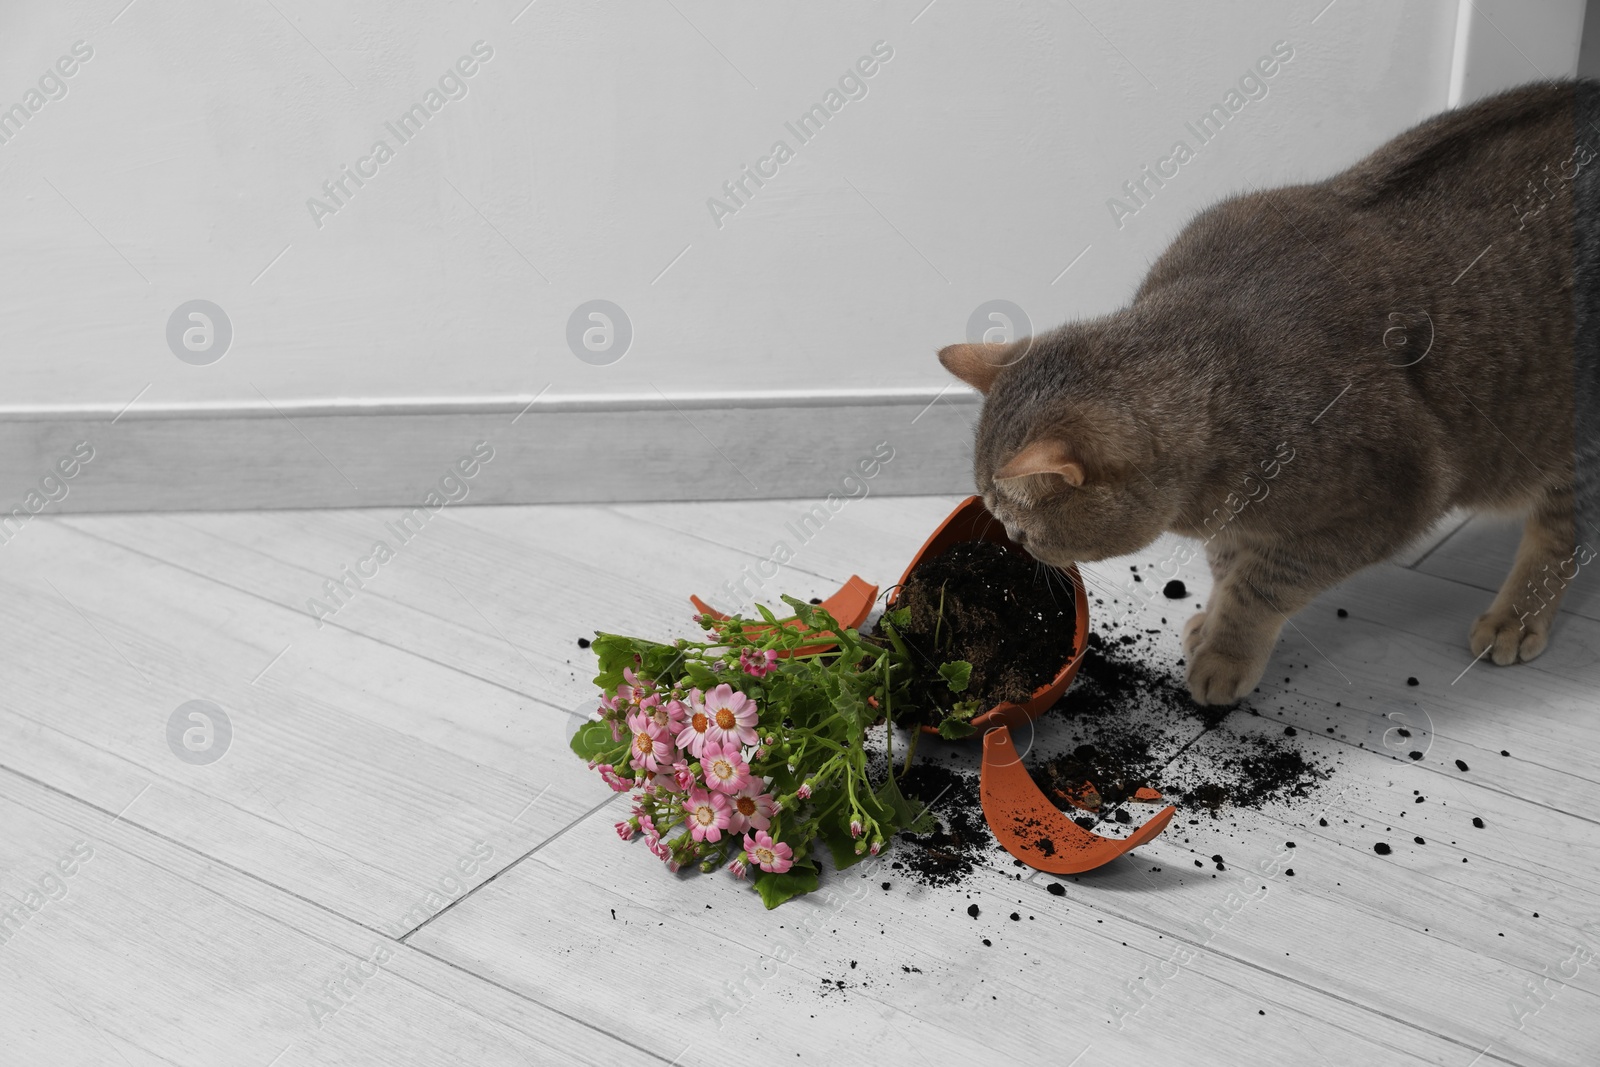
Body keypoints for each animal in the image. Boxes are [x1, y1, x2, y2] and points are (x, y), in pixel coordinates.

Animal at [934, 79, 1600, 703]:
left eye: (1023, 531)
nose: (1013, 546)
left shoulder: (1381, 507)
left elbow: (1261, 584)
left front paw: (1227, 653)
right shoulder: (1233, 521)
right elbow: (1228, 564)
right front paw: (1210, 620)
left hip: (1574, 454)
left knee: (1561, 537)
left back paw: (1515, 619)